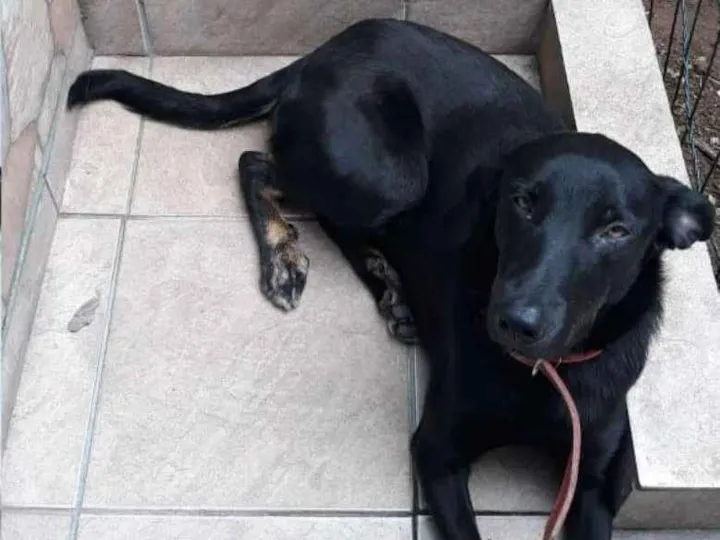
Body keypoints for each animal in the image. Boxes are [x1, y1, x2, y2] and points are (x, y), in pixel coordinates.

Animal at [67, 18, 714, 540]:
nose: (515, 322)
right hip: (388, 176)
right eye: (523, 202)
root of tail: (318, 54)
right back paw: (284, 257)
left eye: (616, 230)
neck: (544, 376)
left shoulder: (594, 482)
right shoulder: (437, 451)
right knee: (257, 165)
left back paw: (387, 283)